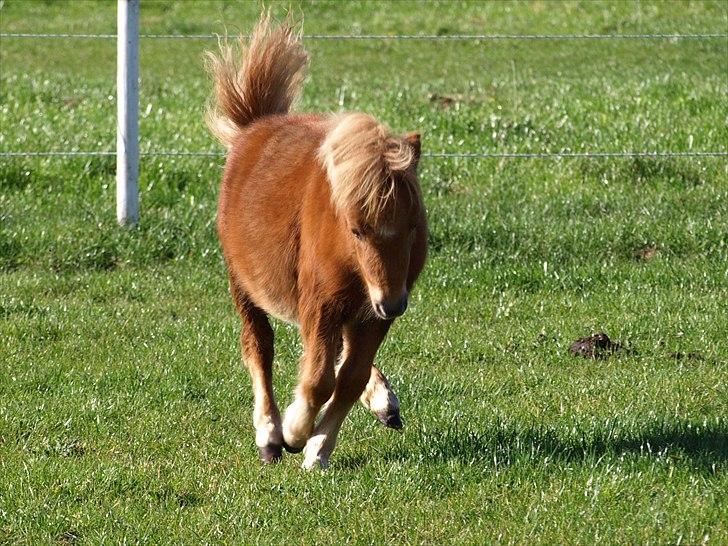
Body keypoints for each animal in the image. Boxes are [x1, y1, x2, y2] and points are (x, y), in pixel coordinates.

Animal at [205, 13, 426, 468]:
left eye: (414, 225)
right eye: (356, 229)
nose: (393, 302)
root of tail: (253, 127)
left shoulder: (370, 315)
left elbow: (349, 377)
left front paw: (319, 449)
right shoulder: (322, 305)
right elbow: (320, 380)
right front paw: (295, 432)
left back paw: (382, 403)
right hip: (244, 286)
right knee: (259, 347)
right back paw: (269, 435)